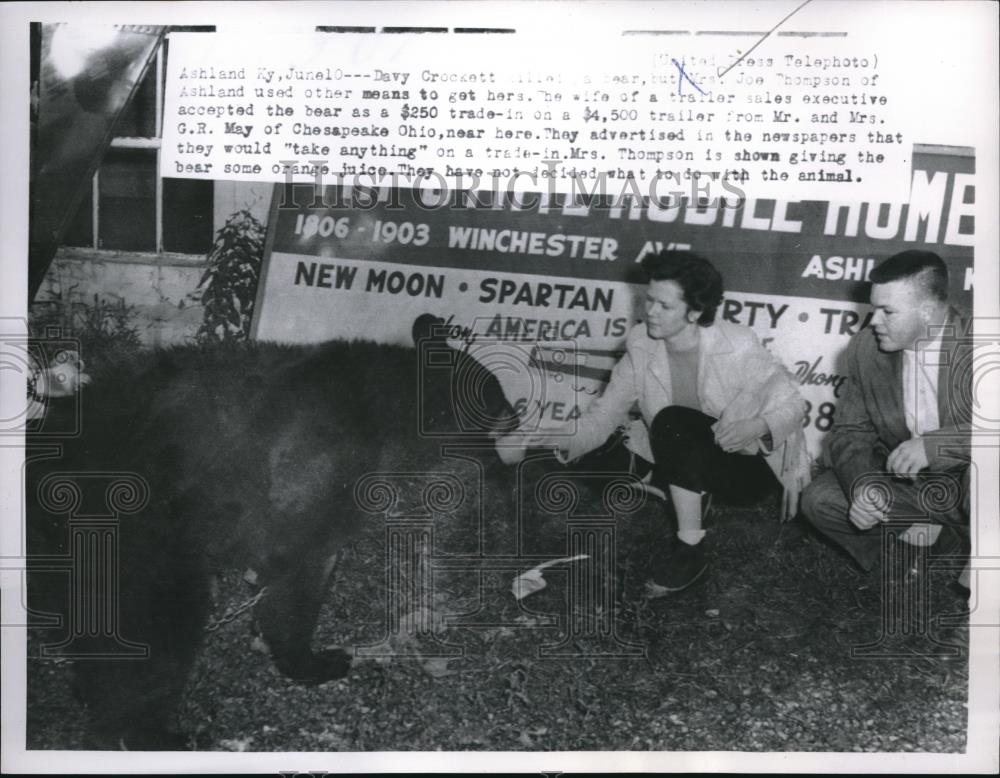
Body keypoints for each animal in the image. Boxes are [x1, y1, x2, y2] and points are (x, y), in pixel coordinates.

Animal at [27, 316, 520, 744]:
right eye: (500, 405)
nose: (519, 418)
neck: (387, 415)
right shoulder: (318, 475)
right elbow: (299, 572)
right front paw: (311, 661)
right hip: (134, 533)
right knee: (154, 625)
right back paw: (154, 734)